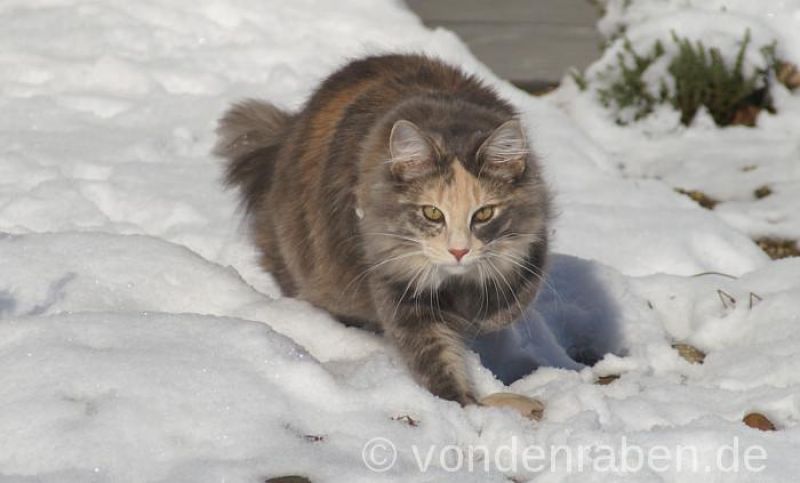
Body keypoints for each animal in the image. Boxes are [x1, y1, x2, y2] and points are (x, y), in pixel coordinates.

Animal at [212, 54, 552, 406]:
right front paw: (461, 405)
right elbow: (436, 358)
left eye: (484, 213)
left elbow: (510, 302)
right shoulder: (400, 291)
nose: (458, 251)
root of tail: (286, 135)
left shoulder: (530, 249)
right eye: (432, 213)